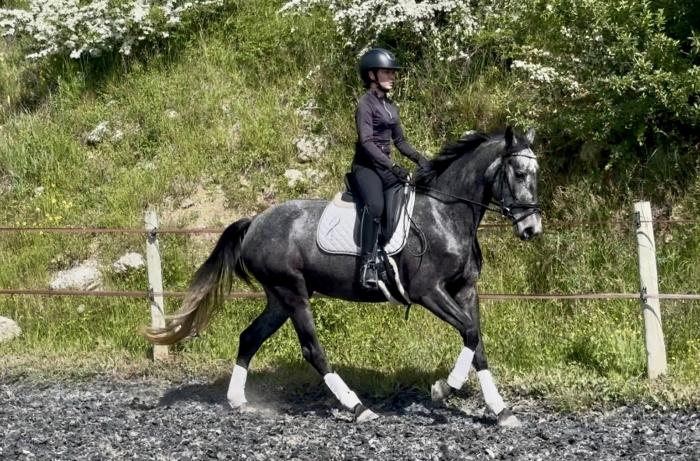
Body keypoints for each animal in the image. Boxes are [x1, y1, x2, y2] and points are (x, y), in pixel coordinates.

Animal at [143, 126, 542, 427]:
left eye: (536, 175)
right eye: (519, 173)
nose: (531, 228)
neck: (445, 213)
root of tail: (254, 222)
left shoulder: (465, 291)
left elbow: (477, 343)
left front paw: (501, 411)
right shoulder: (429, 291)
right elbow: (470, 334)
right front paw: (444, 388)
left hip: (279, 298)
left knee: (249, 337)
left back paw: (238, 399)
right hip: (292, 293)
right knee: (312, 350)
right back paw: (358, 408)